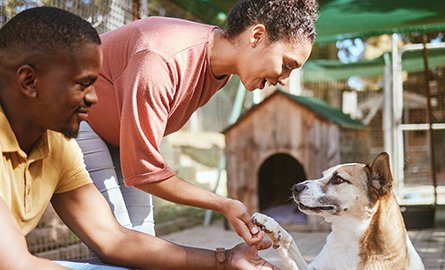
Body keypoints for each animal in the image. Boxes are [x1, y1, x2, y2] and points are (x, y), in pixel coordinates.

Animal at [253, 153, 424, 268]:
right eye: (323, 175)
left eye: (338, 179)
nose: (296, 187)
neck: (350, 236)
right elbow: (288, 241)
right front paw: (271, 225)